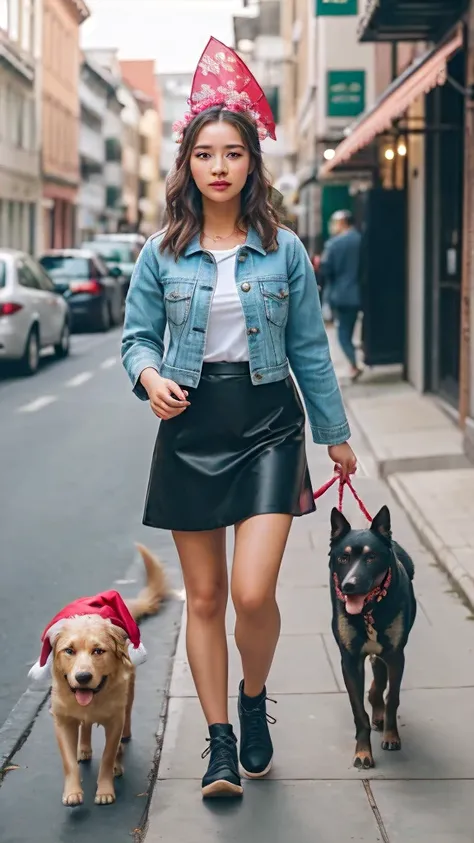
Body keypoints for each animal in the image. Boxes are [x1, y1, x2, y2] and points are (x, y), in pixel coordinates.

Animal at [330, 508, 414, 772]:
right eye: (343, 558)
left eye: (371, 557)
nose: (349, 585)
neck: (369, 610)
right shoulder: (350, 661)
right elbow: (359, 711)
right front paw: (363, 752)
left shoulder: (397, 655)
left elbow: (392, 697)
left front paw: (391, 736)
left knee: (380, 677)